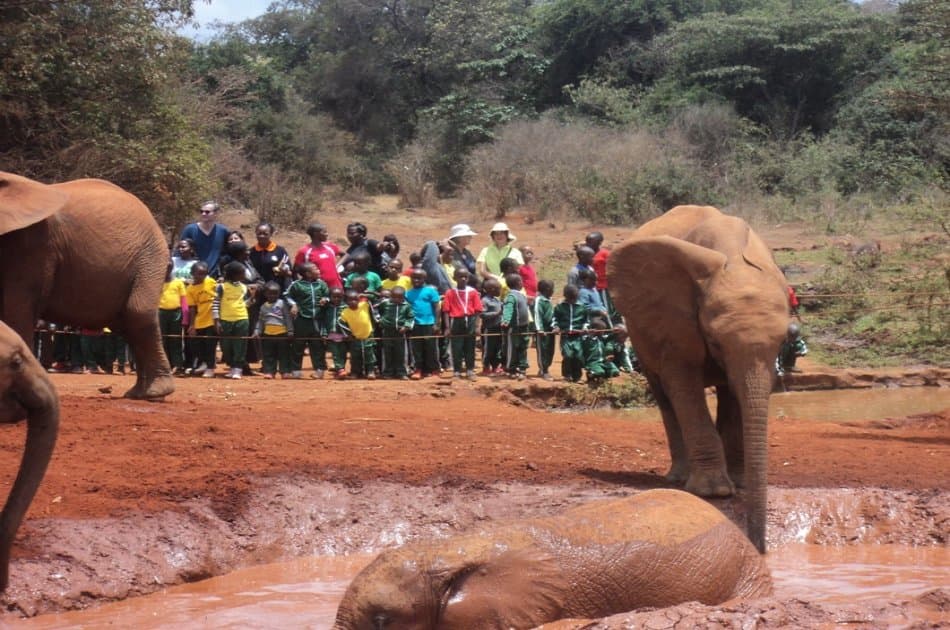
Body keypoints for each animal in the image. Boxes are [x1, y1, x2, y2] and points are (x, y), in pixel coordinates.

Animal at [0, 171, 173, 399]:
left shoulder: (34, 245)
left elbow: (15, 310)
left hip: (150, 258)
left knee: (138, 314)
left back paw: (154, 393)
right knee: (127, 325)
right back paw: (137, 393)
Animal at [606, 205, 789, 553]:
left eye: (785, 340)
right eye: (715, 341)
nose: (759, 548)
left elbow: (734, 395)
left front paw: (739, 482)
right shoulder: (674, 318)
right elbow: (684, 383)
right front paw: (714, 492)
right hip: (640, 333)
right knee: (664, 395)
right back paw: (678, 479)